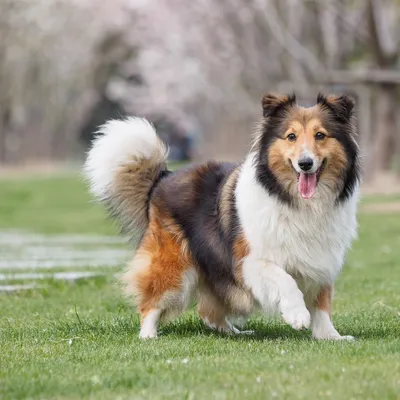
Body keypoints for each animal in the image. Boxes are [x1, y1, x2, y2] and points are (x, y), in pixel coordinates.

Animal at [83, 92, 360, 340]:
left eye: (320, 135)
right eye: (291, 136)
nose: (305, 164)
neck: (294, 200)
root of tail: (163, 177)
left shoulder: (321, 258)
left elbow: (322, 303)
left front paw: (330, 336)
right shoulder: (250, 260)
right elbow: (285, 279)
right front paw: (297, 314)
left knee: (208, 311)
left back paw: (234, 331)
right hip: (173, 265)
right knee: (152, 301)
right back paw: (148, 335)